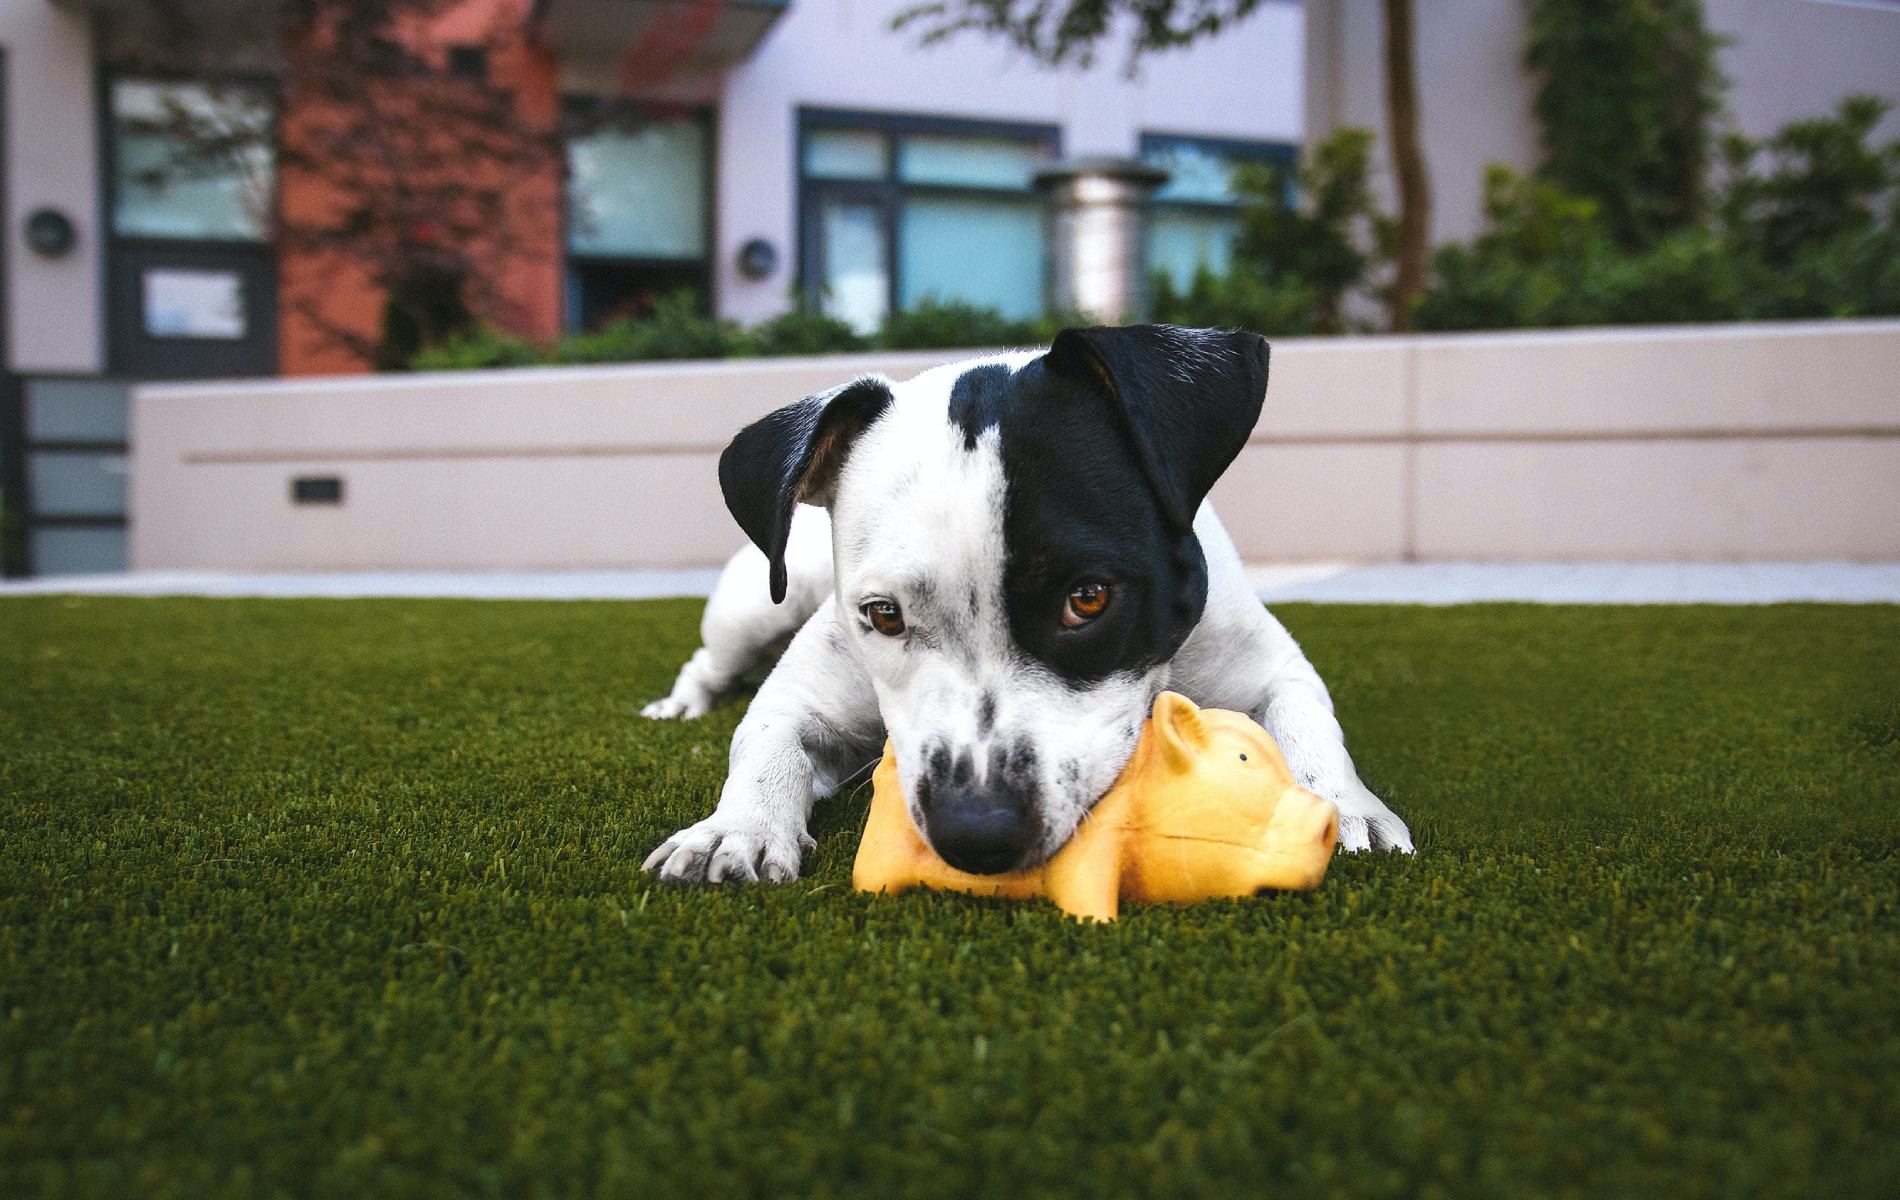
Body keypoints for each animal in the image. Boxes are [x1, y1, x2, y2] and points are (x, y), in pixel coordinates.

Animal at [642, 322, 1413, 884]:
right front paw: (734, 829)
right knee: (708, 661)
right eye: (883, 615)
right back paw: (681, 705)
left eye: (1089, 599)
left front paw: (1343, 805)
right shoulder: (802, 696)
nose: (976, 832)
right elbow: (767, 744)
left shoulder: (1270, 667)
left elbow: (1308, 724)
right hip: (755, 607)